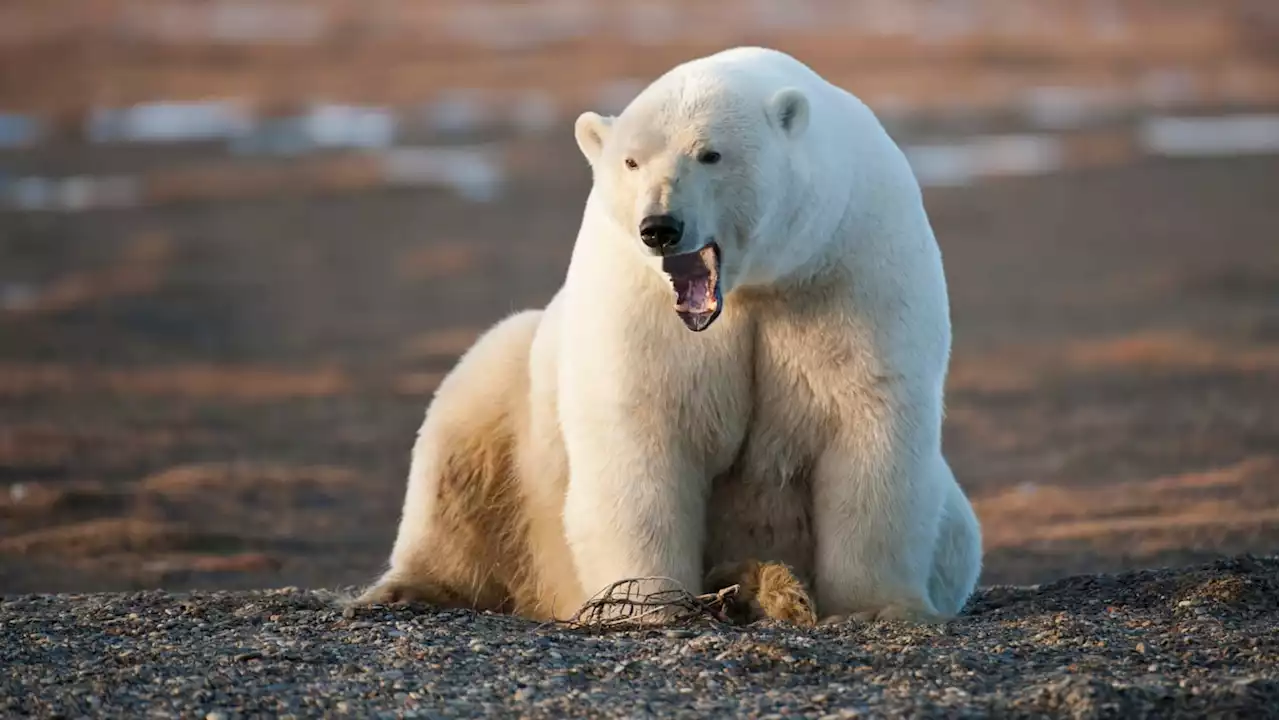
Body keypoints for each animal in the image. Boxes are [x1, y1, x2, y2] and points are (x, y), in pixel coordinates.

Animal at [355, 46, 983, 622]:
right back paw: (404, 589)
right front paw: (647, 603)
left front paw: (880, 607)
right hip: (517, 396)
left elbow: (868, 424)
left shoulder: (847, 269)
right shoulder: (639, 304)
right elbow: (641, 432)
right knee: (461, 435)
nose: (660, 226)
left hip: (954, 516)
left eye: (710, 153)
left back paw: (763, 587)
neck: (752, 288)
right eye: (632, 162)